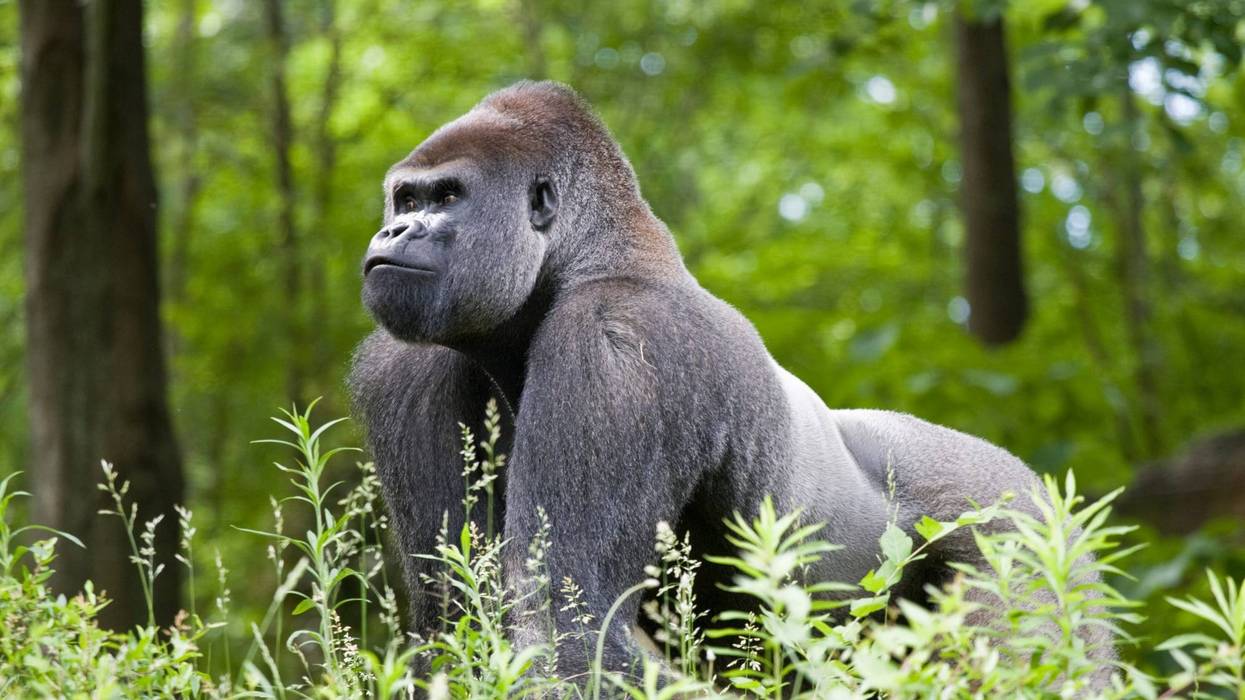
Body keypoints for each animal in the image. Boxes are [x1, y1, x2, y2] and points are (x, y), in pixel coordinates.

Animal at [348, 80, 1115, 687]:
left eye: (449, 197)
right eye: (405, 197)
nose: (396, 231)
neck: (585, 260)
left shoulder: (618, 344)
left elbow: (571, 626)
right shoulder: (406, 370)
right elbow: (458, 622)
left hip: (1021, 530)